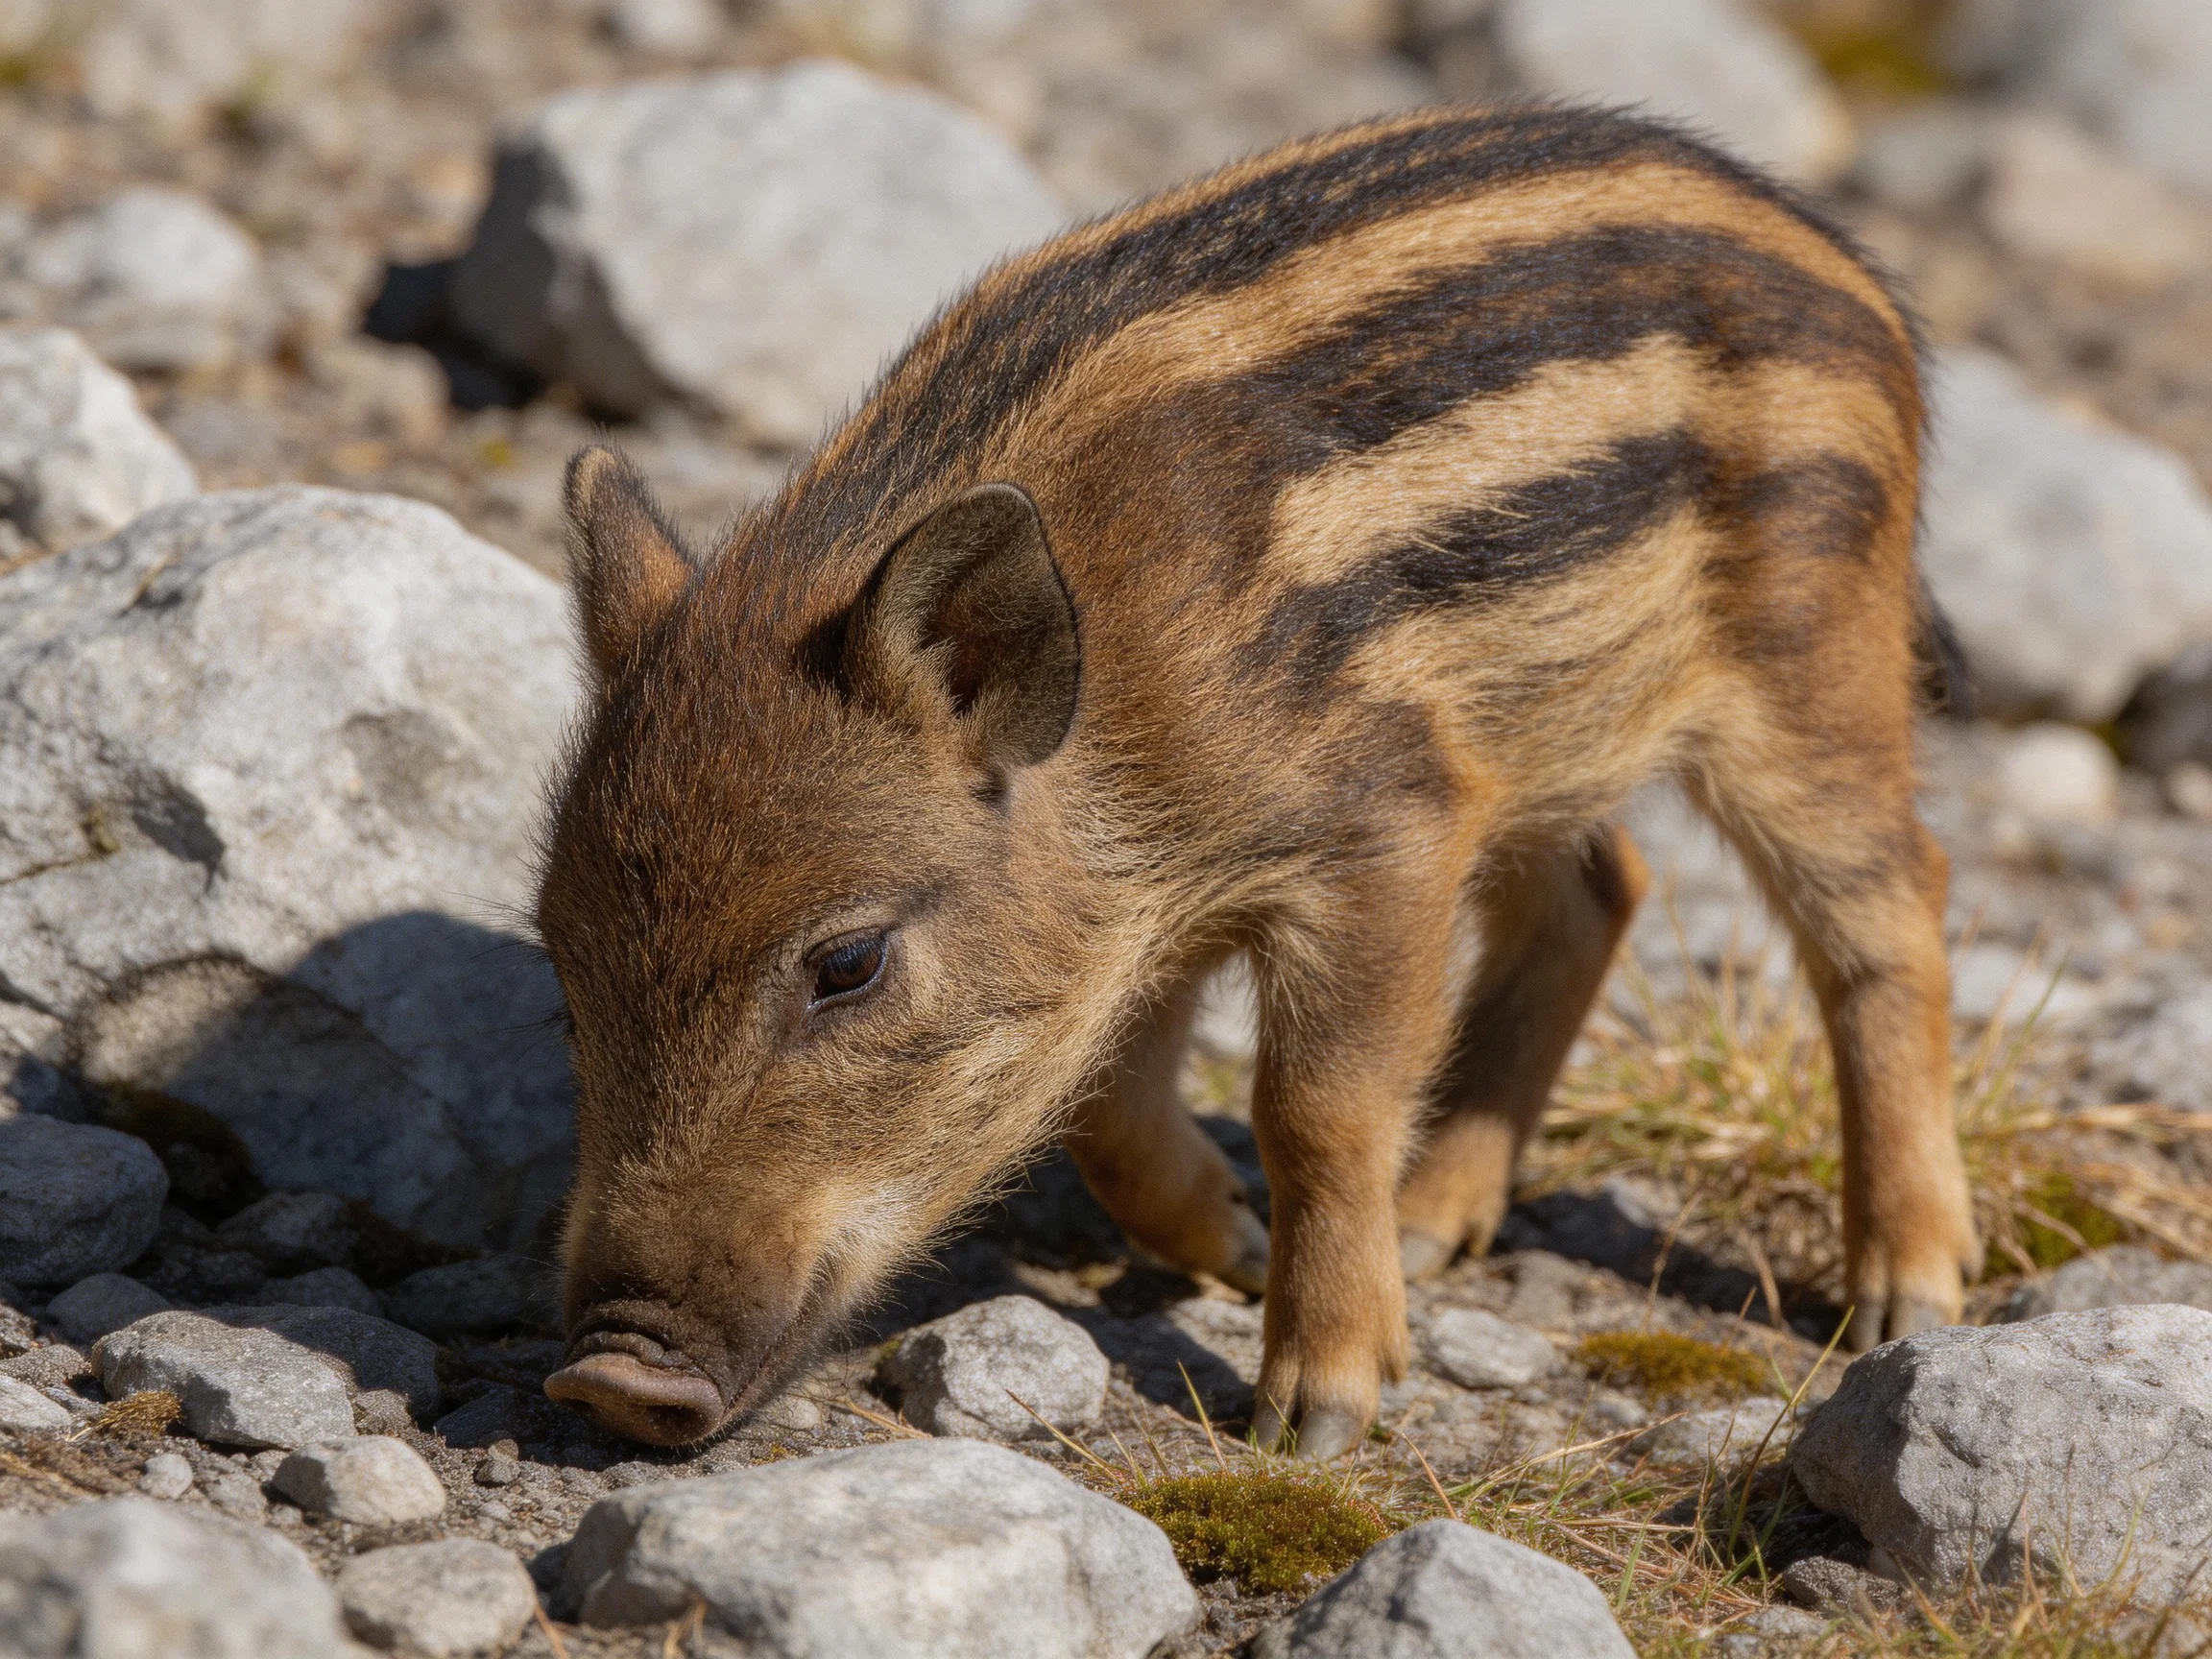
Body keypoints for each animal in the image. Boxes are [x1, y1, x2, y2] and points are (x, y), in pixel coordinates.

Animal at [535, 102, 1978, 1454]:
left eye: (848, 964)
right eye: (564, 960)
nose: (608, 1378)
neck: (1125, 729)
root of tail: (1860, 284)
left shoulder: (1385, 828)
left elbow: (1314, 1108)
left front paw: (1312, 1420)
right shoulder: (1152, 915)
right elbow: (1111, 1116)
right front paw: (1228, 1250)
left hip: (1808, 666)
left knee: (1891, 907)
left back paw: (1905, 1299)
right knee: (1602, 890)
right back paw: (1438, 1227)